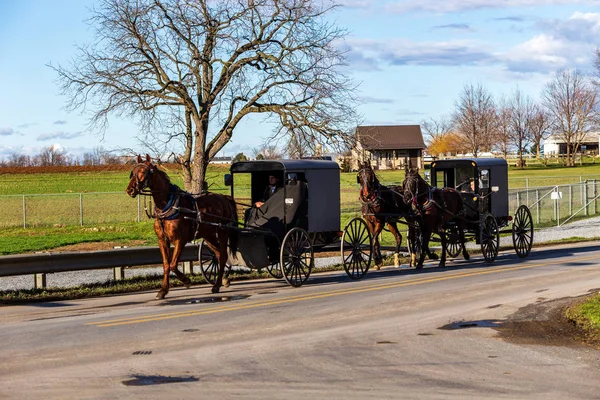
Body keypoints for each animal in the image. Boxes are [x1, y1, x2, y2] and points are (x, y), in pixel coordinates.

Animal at [126, 155, 239, 298]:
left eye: (143, 172)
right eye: (132, 172)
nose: (129, 190)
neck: (168, 206)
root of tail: (224, 198)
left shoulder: (180, 240)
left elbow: (173, 264)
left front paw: (186, 281)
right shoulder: (162, 240)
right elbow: (166, 264)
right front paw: (163, 290)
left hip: (222, 232)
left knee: (223, 255)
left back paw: (217, 284)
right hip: (208, 235)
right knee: (218, 255)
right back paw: (223, 280)